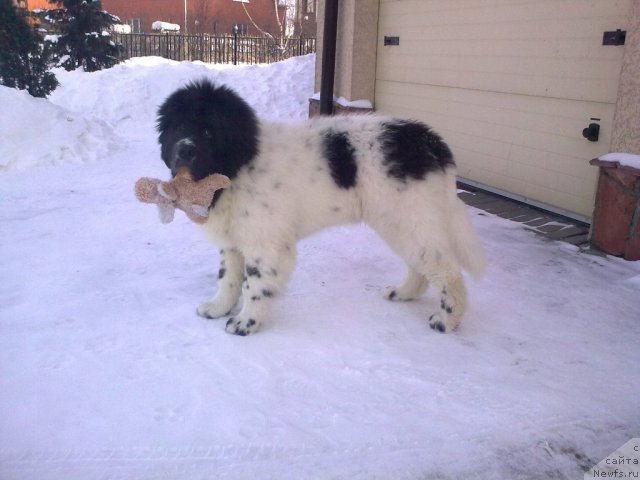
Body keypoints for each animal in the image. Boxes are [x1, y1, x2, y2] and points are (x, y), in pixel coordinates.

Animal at [156, 80, 484, 336]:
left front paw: (246, 322)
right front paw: (218, 307)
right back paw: (403, 293)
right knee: (421, 264)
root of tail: (430, 141)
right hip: (403, 221)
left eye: (209, 132)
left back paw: (446, 320)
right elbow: (229, 278)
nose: (184, 150)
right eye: (179, 127)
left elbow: (255, 284)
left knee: (446, 270)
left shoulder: (265, 242)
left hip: (409, 216)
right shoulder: (235, 237)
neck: (239, 165)